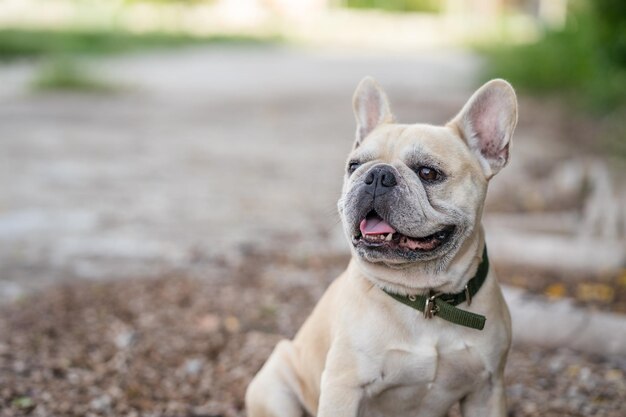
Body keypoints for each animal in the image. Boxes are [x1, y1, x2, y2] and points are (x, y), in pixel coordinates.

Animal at [246, 78, 516, 416]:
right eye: (354, 166)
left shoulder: (487, 388)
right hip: (275, 383)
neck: (426, 297)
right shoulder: (343, 388)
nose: (377, 174)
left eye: (428, 172)